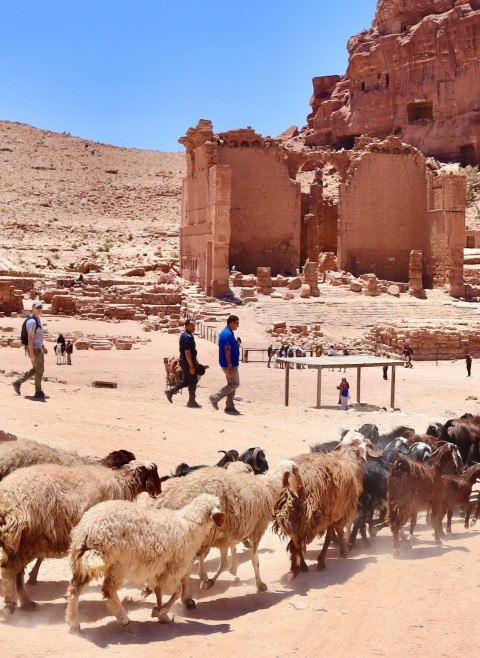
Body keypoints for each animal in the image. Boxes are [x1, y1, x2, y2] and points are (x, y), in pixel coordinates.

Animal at [0, 456, 161, 616]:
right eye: (154, 472)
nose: (159, 491)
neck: (122, 483)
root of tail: (8, 503)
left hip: (20, 543)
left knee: (15, 571)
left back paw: (24, 602)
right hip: (30, 541)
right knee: (11, 570)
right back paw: (15, 603)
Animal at [64, 492, 224, 632]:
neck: (190, 527)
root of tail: (90, 530)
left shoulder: (159, 571)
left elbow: (158, 591)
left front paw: (161, 614)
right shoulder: (173, 570)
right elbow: (178, 591)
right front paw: (161, 612)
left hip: (83, 563)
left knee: (74, 590)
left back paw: (74, 624)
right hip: (120, 565)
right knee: (108, 590)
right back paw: (123, 618)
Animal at [152, 456, 298, 604]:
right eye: (296, 470)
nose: (298, 491)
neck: (268, 486)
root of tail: (179, 498)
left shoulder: (227, 534)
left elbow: (224, 562)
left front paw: (211, 580)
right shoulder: (257, 529)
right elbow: (254, 560)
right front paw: (260, 584)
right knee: (186, 566)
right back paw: (185, 599)